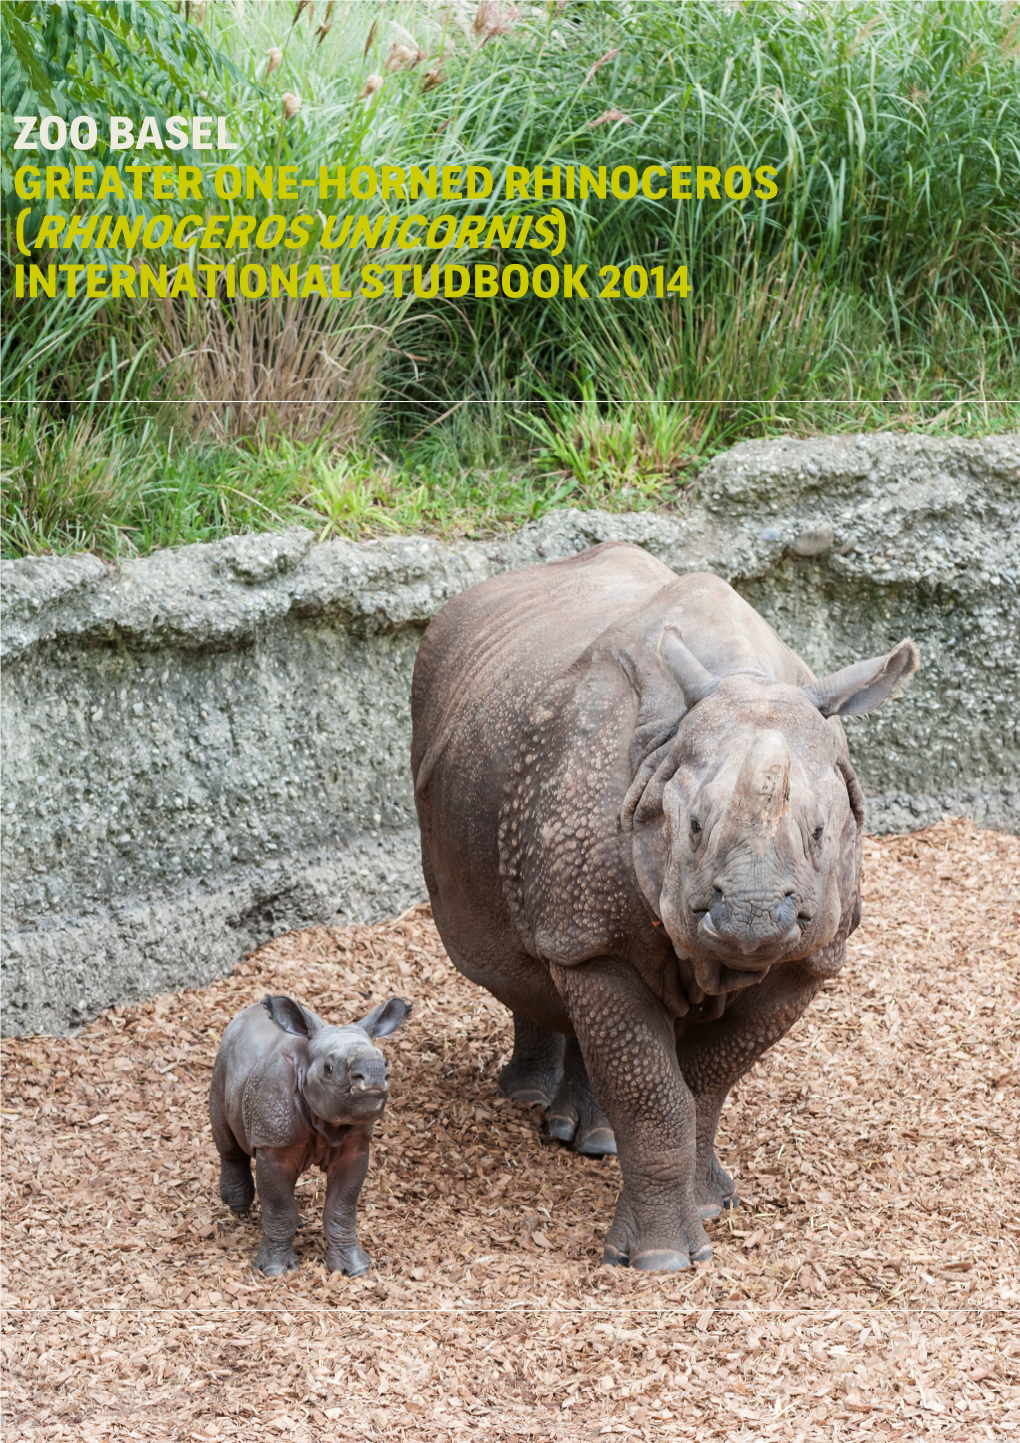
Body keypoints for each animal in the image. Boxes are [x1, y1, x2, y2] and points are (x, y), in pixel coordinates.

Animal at [210, 992, 409, 1275]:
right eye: (328, 1068)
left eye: (385, 1062)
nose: (373, 1078)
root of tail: (244, 1013)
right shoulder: (273, 1142)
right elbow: (279, 1205)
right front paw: (275, 1270)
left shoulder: (356, 1145)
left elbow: (341, 1207)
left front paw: (355, 1268)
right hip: (224, 1056)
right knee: (226, 1138)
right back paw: (237, 1206)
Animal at [409, 542, 923, 1275]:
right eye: (696, 826)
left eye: (822, 833)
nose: (751, 916)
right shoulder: (597, 943)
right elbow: (653, 1096)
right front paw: (660, 1260)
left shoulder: (809, 961)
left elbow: (703, 1086)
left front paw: (709, 1204)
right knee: (536, 957)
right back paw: (534, 1105)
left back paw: (589, 1138)